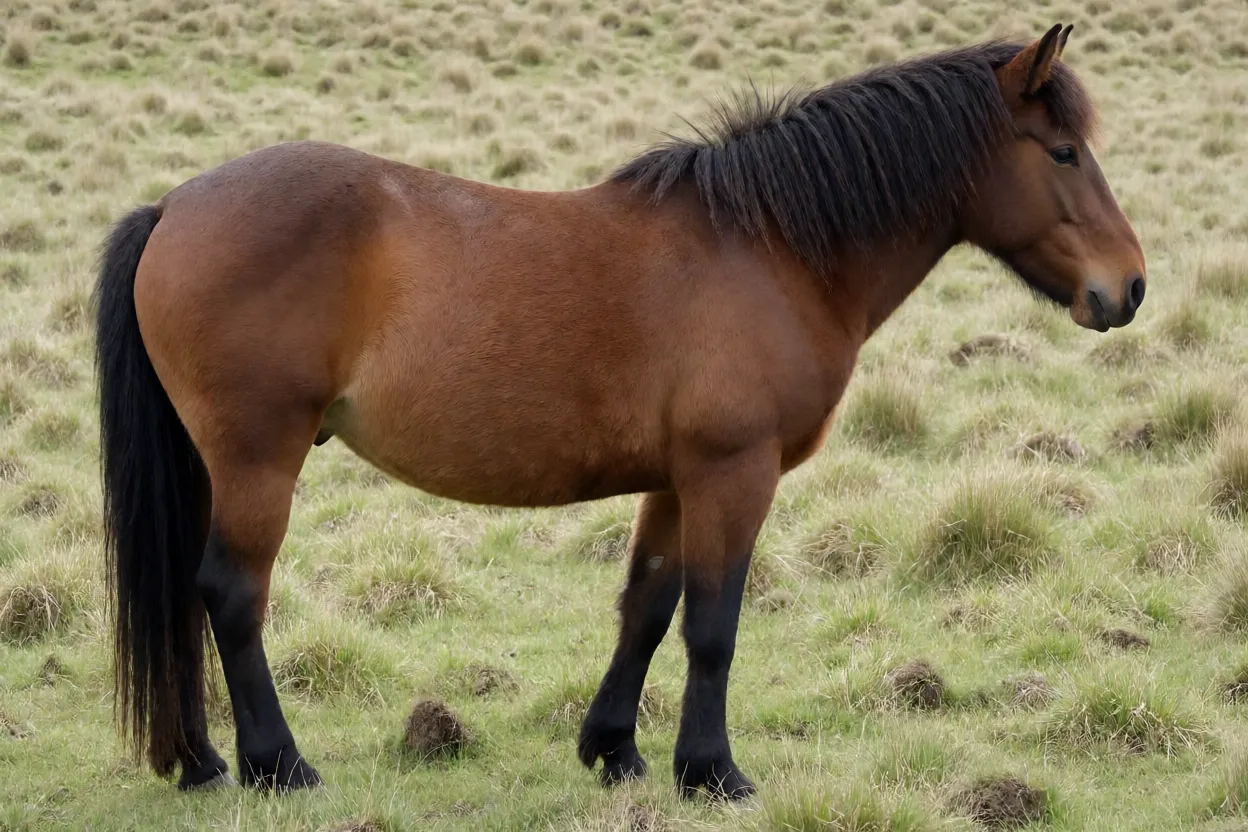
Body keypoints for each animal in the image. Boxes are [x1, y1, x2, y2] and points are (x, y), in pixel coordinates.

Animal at [94, 23, 1145, 799]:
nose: (1127, 288)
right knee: (232, 593)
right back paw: (278, 764)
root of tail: (174, 206)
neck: (772, 248)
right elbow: (713, 624)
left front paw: (614, 750)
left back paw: (200, 760)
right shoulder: (734, 474)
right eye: (1063, 151)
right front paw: (712, 772)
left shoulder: (678, 482)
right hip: (258, 459)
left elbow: (648, 606)